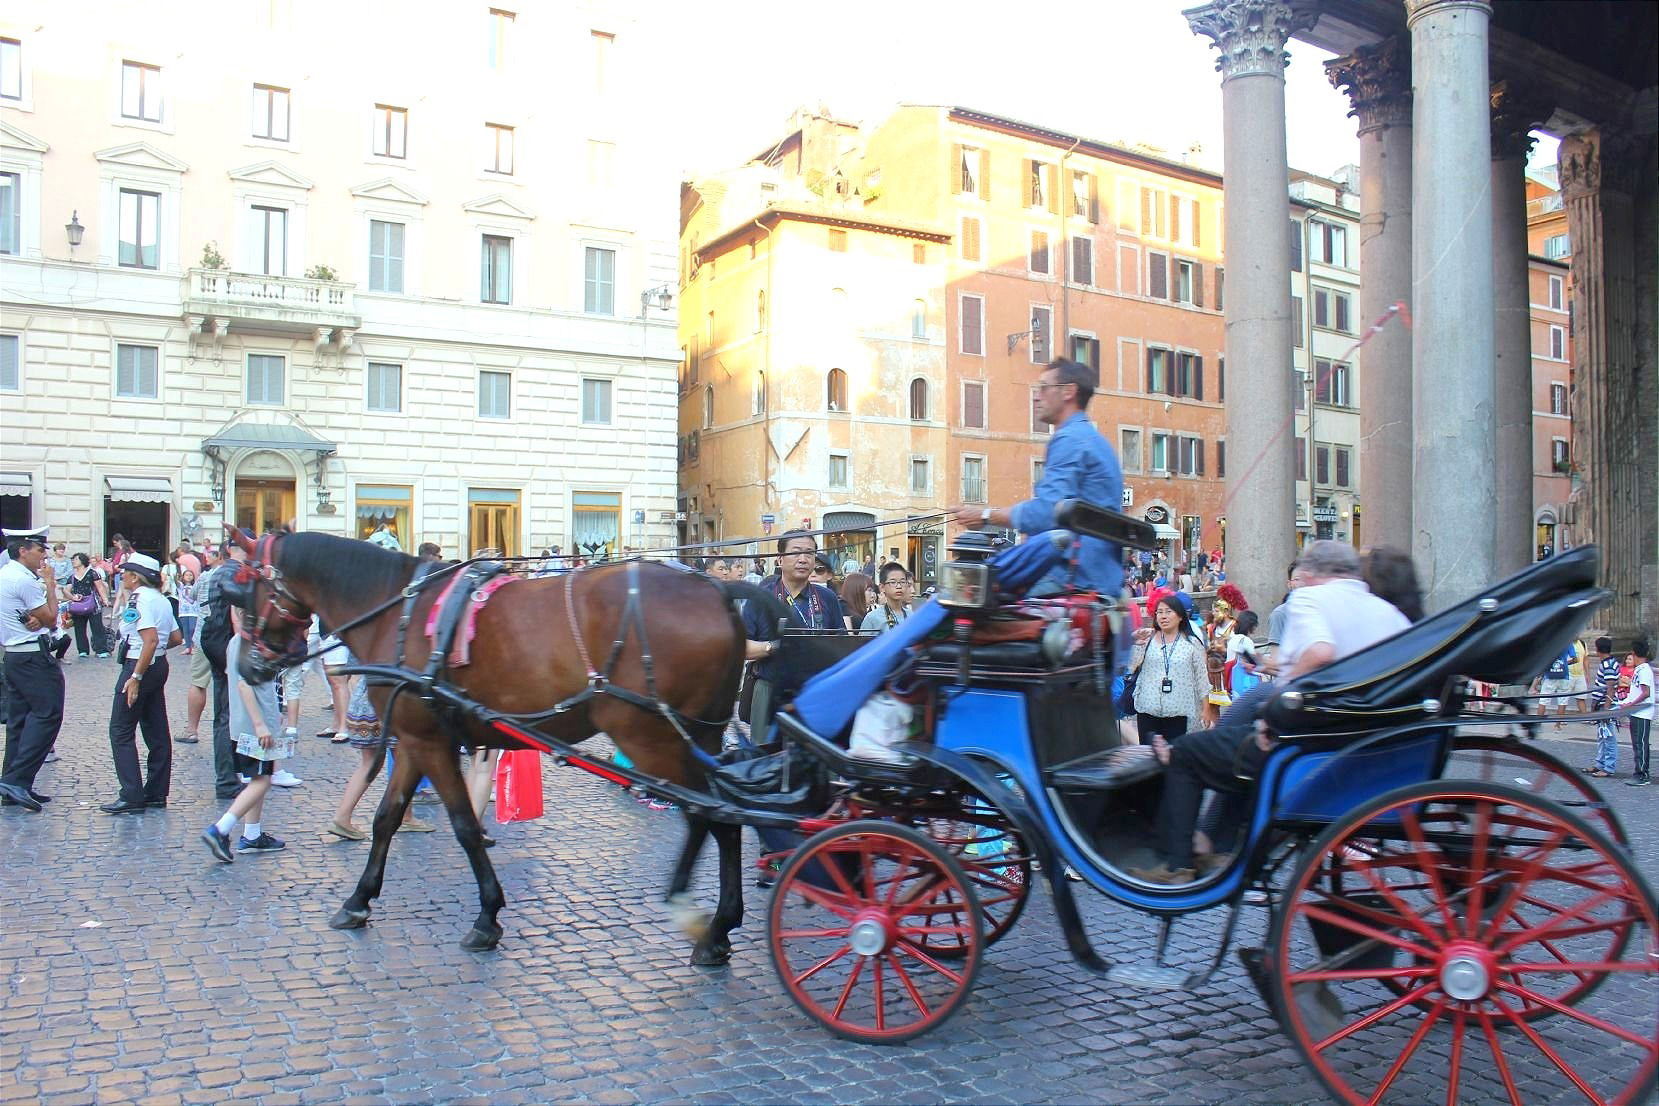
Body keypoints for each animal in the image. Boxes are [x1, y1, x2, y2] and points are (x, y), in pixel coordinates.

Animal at [222, 527, 763, 961]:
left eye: (244, 588)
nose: (246, 667)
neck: (397, 609)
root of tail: (718, 590)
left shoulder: (428, 742)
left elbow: (463, 825)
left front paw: (487, 916)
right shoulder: (415, 740)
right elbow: (386, 818)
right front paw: (358, 900)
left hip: (652, 739)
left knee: (709, 815)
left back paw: (703, 919)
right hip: (699, 736)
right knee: (722, 817)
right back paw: (717, 924)